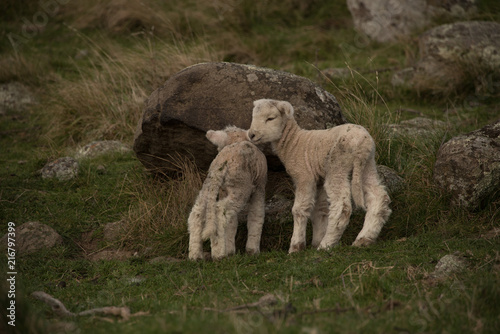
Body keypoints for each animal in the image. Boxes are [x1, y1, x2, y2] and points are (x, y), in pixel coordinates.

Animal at [188, 126, 268, 260]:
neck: (235, 140)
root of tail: (221, 165)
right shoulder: (259, 186)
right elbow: (256, 215)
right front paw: (253, 250)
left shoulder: (223, 191)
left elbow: (232, 223)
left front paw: (230, 249)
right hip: (240, 187)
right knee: (220, 211)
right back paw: (218, 253)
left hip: (209, 185)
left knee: (197, 213)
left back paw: (195, 255)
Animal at [246, 99, 390, 253]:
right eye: (253, 116)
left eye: (270, 118)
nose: (252, 135)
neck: (294, 142)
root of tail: (362, 142)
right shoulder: (318, 179)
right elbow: (320, 210)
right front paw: (316, 240)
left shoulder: (304, 176)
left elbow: (299, 210)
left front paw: (296, 247)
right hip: (368, 164)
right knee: (378, 197)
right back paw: (364, 239)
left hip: (337, 165)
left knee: (342, 207)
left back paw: (326, 245)